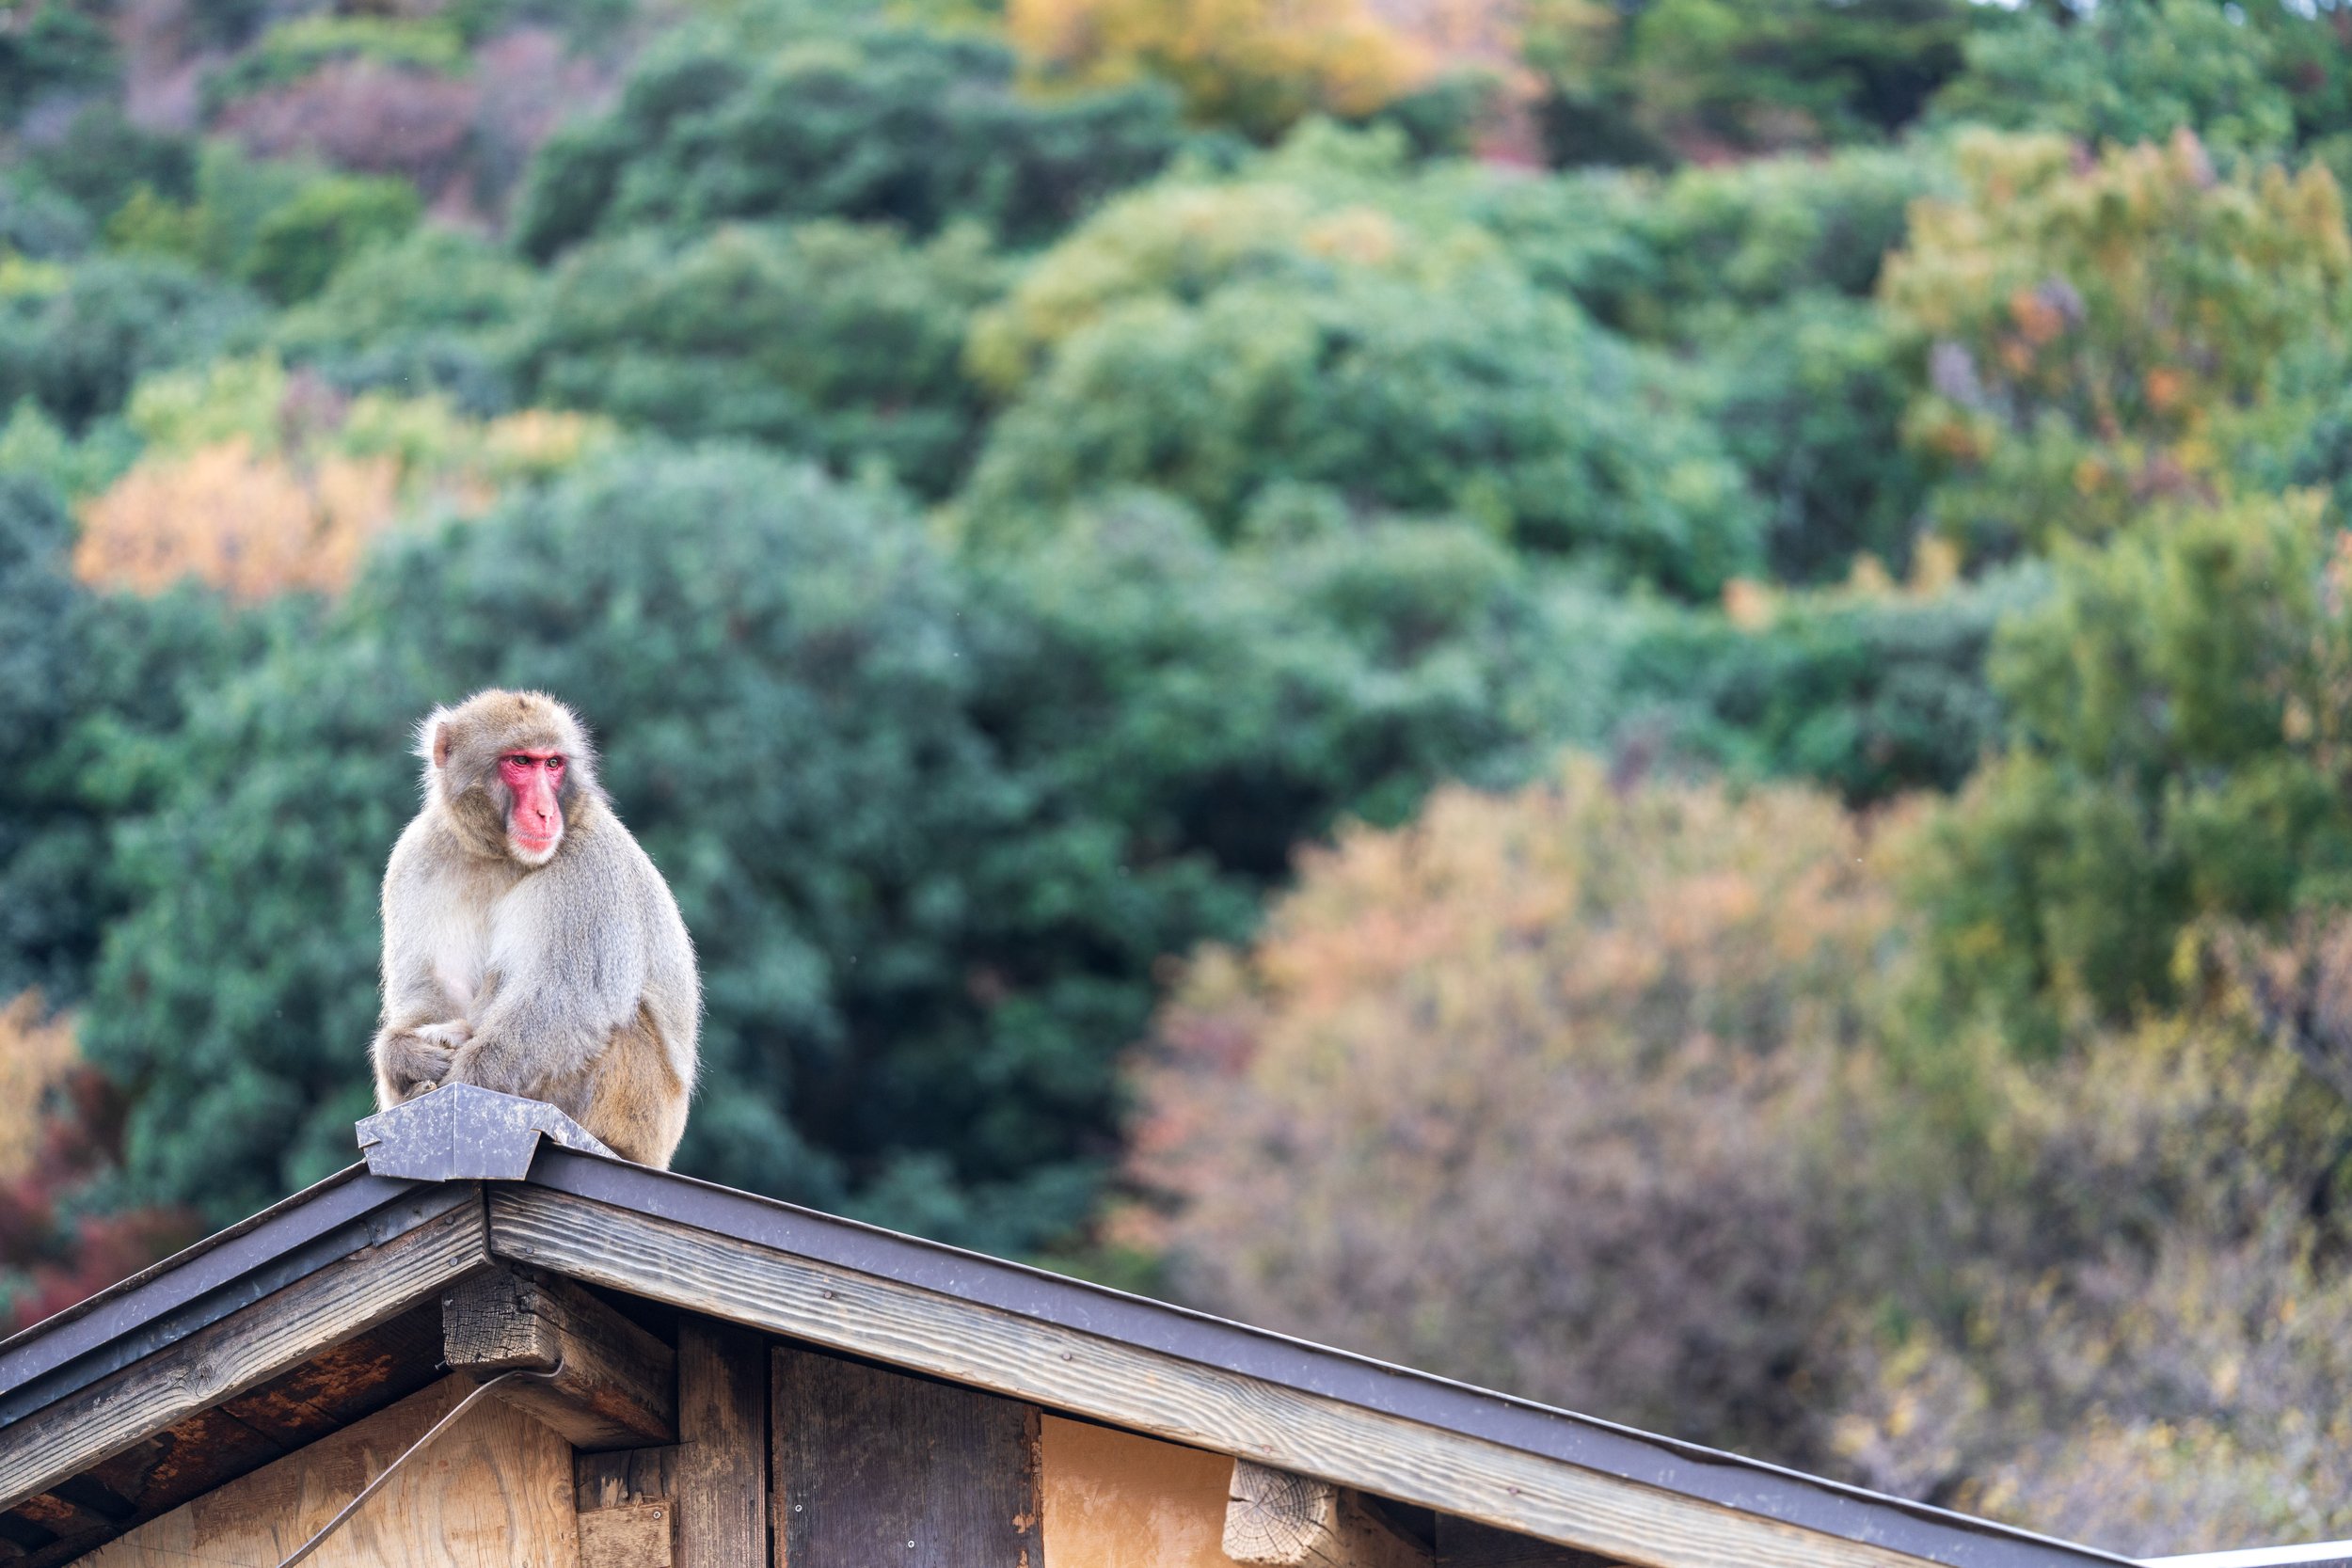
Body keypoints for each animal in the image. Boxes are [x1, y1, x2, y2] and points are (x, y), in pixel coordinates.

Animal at [370, 689, 699, 1168]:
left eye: (553, 764)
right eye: (521, 762)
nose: (545, 813)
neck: (500, 855)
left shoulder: (588, 863)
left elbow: (568, 996)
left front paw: (468, 1075)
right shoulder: (417, 857)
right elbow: (430, 987)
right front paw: (405, 1055)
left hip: (638, 1108)